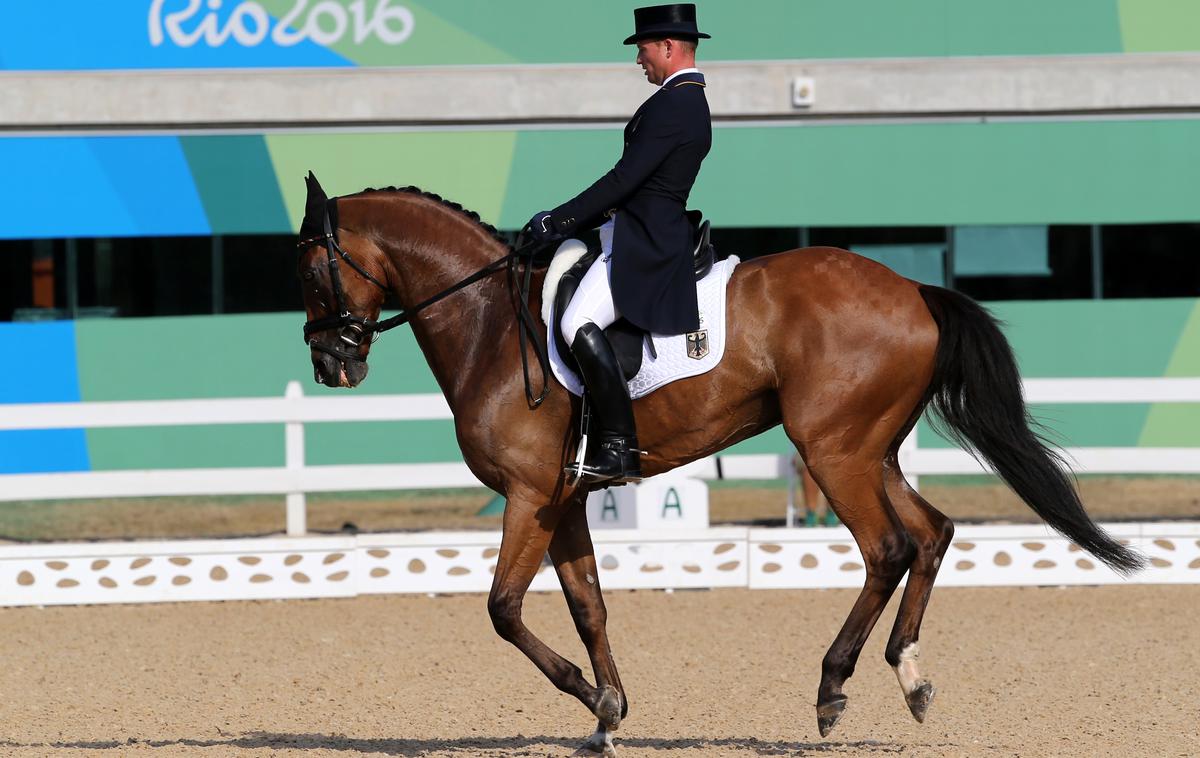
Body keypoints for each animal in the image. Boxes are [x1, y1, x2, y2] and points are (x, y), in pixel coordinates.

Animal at [295, 176, 1137, 753]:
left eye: (309, 269)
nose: (332, 363)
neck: (492, 326)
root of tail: (914, 290)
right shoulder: (566, 498)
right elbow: (589, 606)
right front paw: (607, 717)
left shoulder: (529, 494)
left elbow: (503, 609)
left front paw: (592, 703)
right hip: (871, 450)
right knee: (931, 535)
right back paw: (912, 677)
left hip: (833, 451)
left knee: (888, 548)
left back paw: (833, 688)